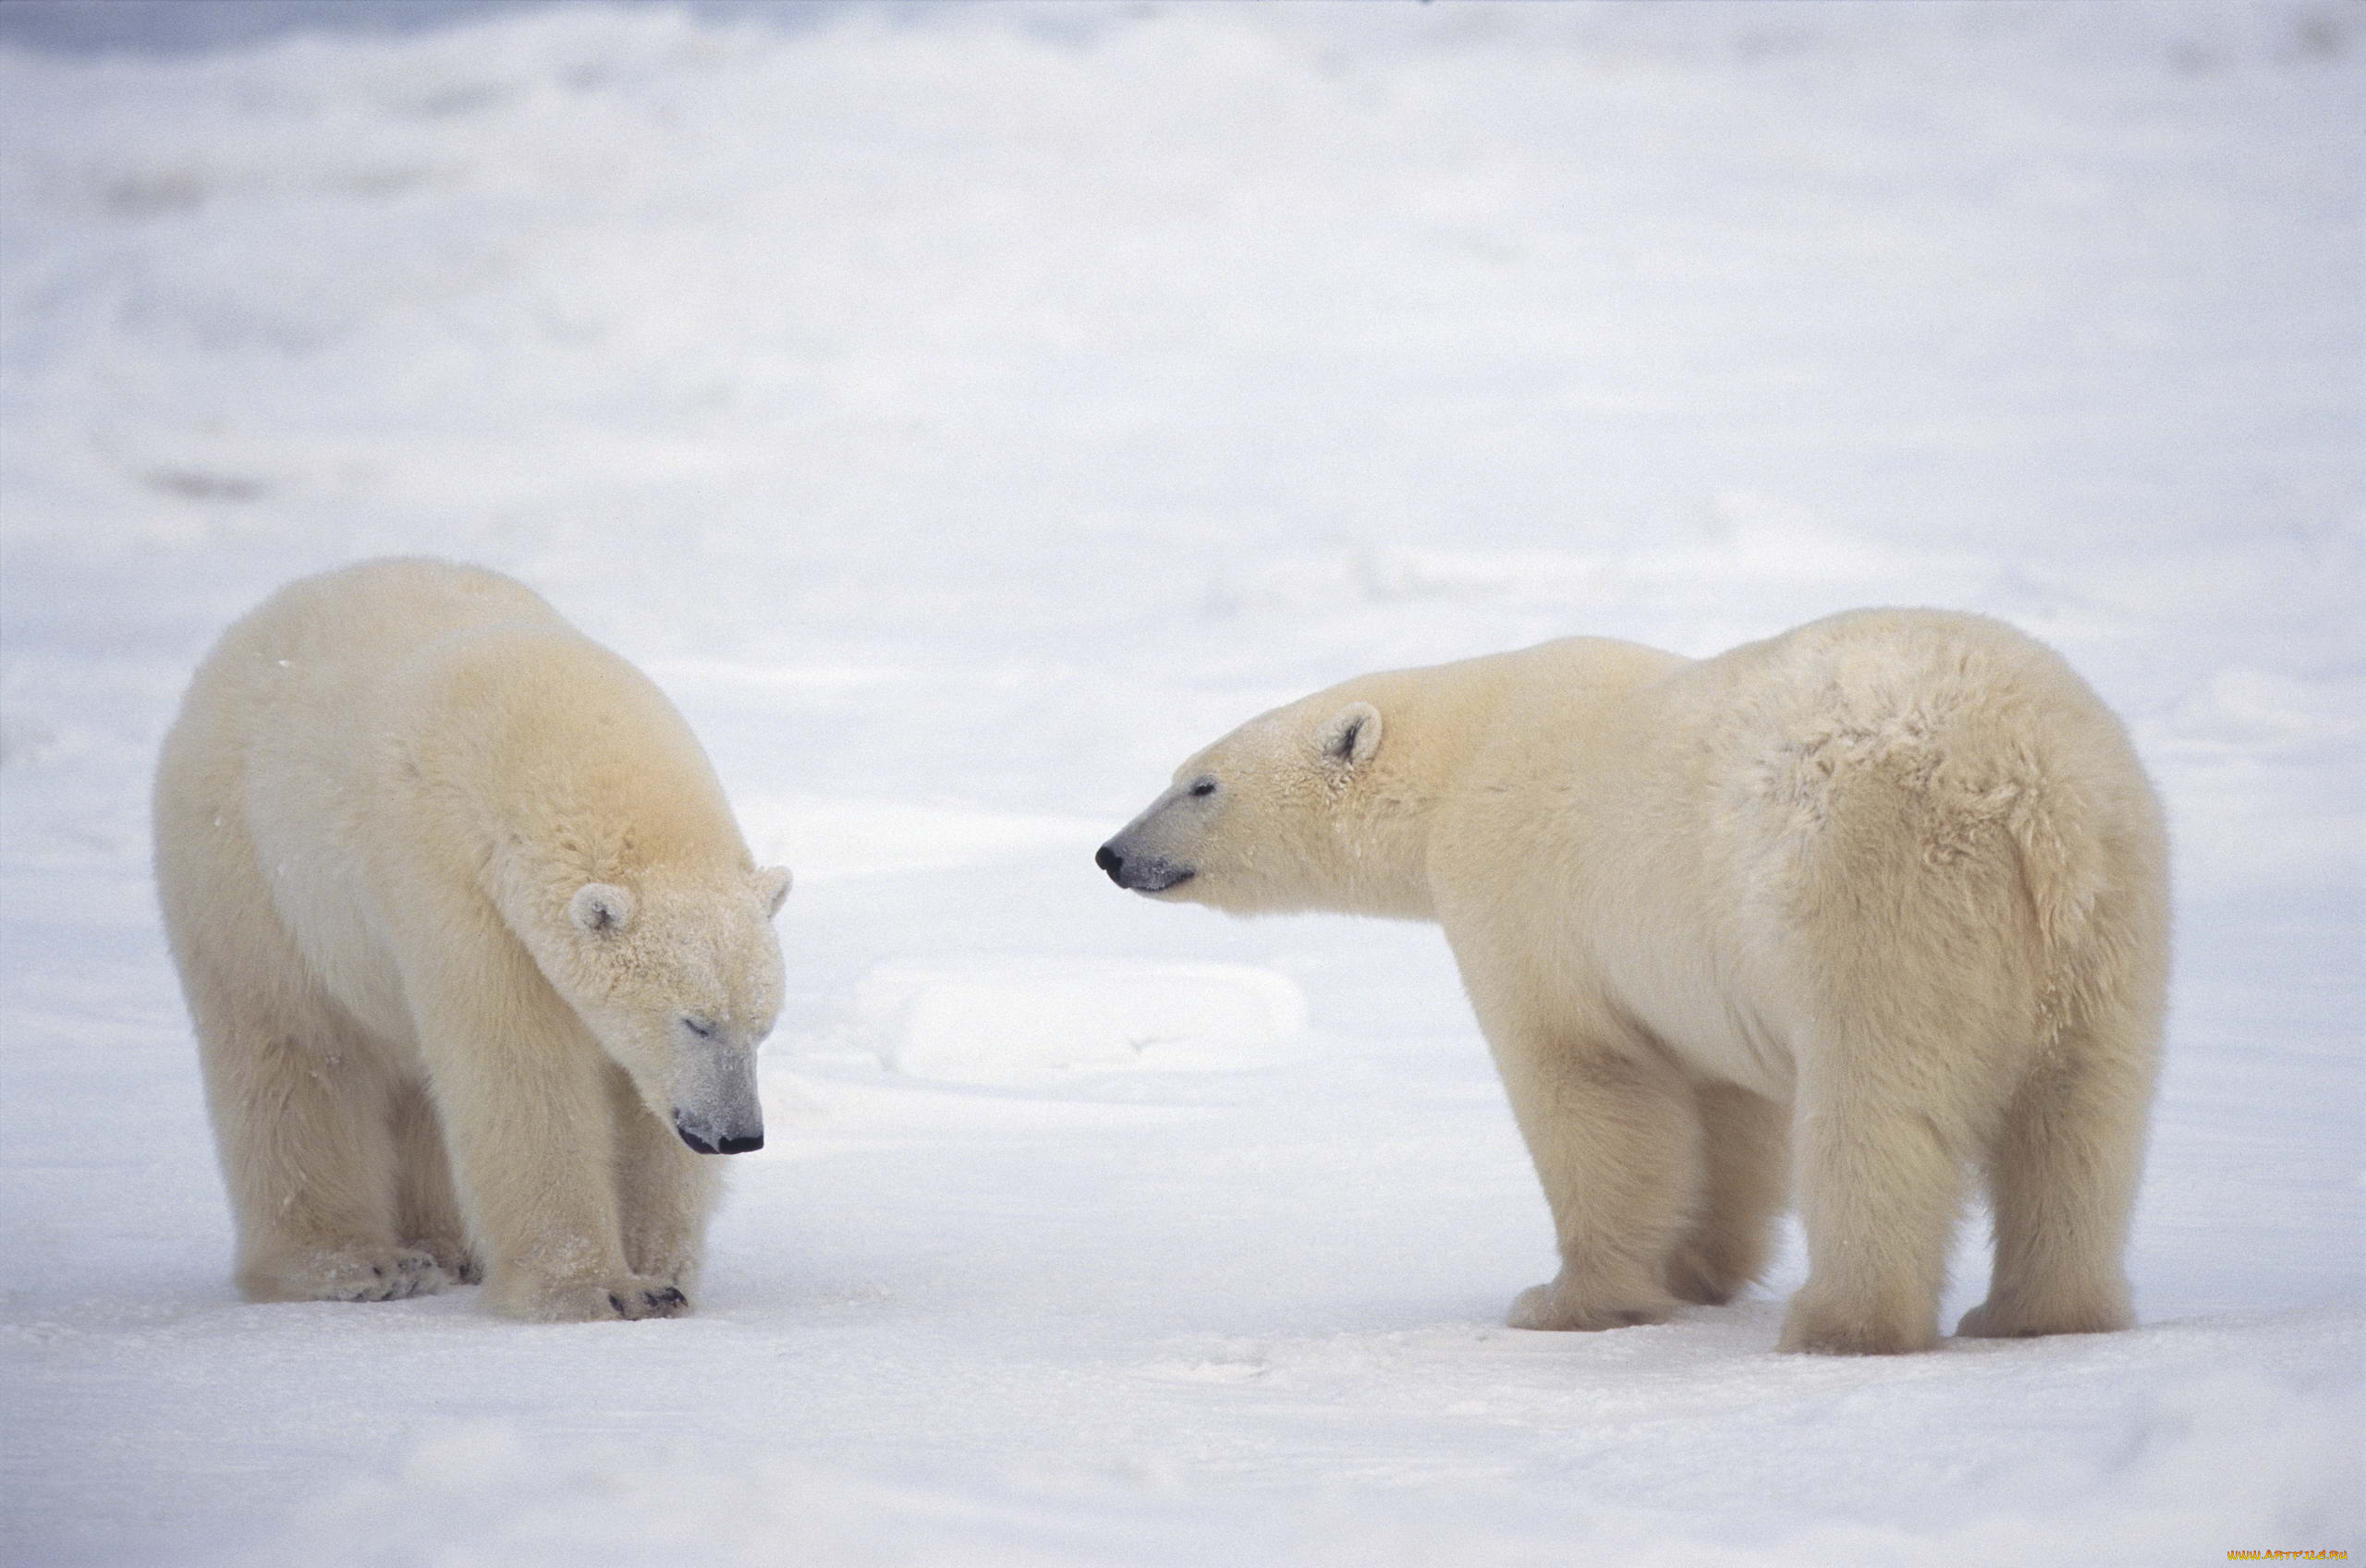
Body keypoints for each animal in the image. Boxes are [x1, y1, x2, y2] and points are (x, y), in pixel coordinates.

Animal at [154, 558, 795, 1315]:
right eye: (696, 1022)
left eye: (761, 1027)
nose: (738, 1135)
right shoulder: (452, 880)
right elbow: (516, 1065)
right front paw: (591, 1289)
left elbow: (639, 1100)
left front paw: (660, 1275)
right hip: (247, 868)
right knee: (292, 1049)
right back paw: (355, 1265)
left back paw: (446, 1247)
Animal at [1097, 605, 2166, 1353]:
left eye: (1199, 783)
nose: (1112, 853)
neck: (1467, 749)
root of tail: (2027, 789)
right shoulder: (1703, 964)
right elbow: (1727, 1109)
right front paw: (1697, 1268)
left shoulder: (1524, 895)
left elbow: (1589, 1084)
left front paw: (1566, 1299)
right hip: (2109, 915)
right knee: (2083, 1118)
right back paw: (2038, 1310)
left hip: (1881, 893)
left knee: (1876, 1113)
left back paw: (1842, 1321)